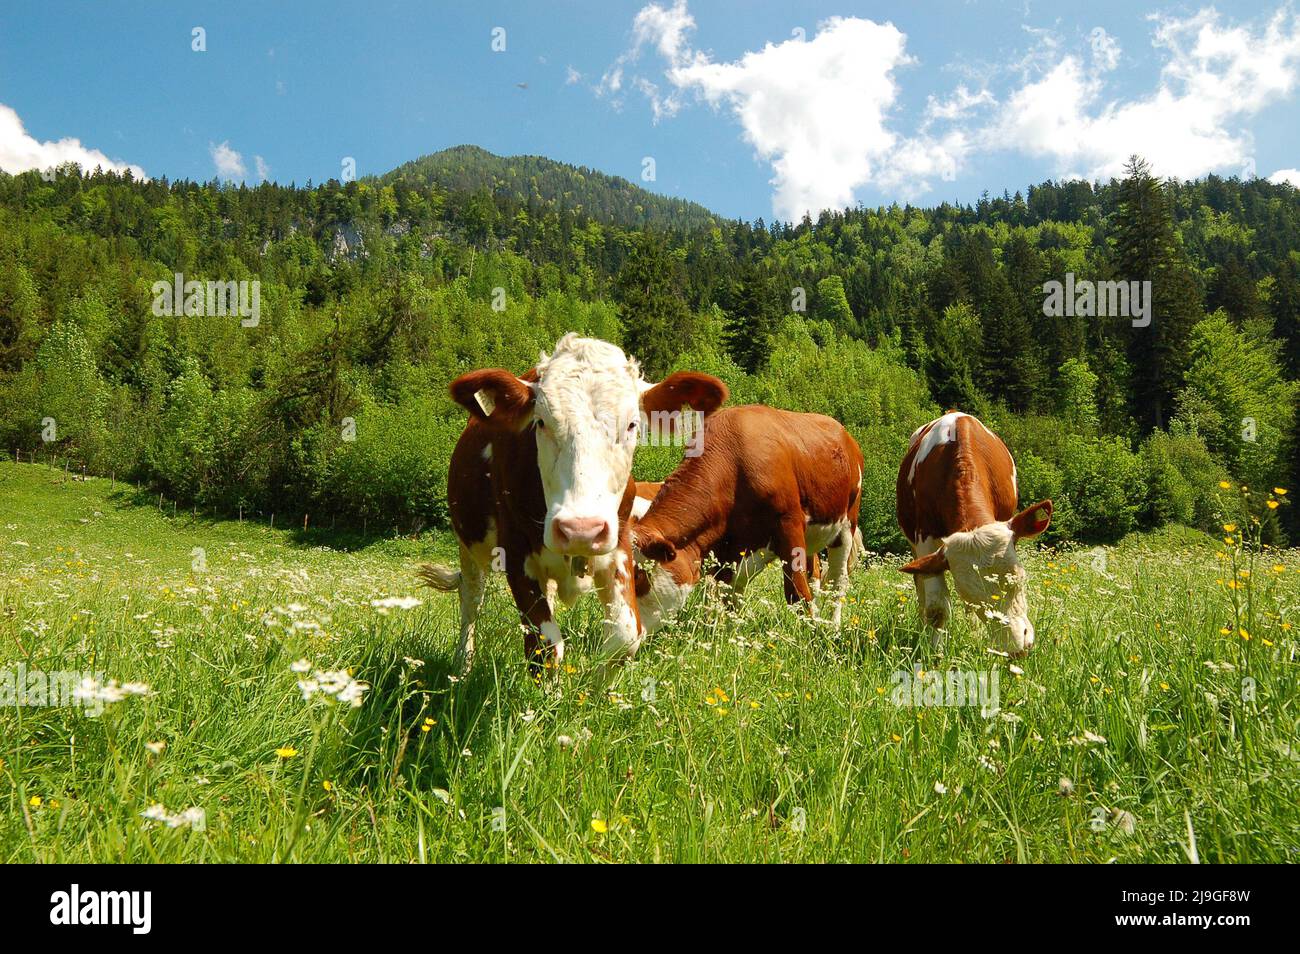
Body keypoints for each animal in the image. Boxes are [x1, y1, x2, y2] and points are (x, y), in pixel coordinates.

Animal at [417, 334, 728, 674]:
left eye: (632, 424)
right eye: (540, 422)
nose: (581, 530)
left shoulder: (620, 545)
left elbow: (624, 638)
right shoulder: (516, 554)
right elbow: (544, 648)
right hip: (469, 545)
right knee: (471, 598)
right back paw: (462, 666)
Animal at [630, 405, 864, 633]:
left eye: (638, 576)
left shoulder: (789, 525)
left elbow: (796, 592)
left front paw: (811, 635)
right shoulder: (727, 549)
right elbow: (727, 596)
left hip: (846, 524)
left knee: (837, 580)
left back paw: (833, 628)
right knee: (815, 575)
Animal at [895, 411, 1052, 656]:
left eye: (1018, 580)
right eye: (976, 598)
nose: (1016, 647)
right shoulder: (925, 540)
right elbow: (937, 608)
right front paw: (935, 652)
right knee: (920, 582)